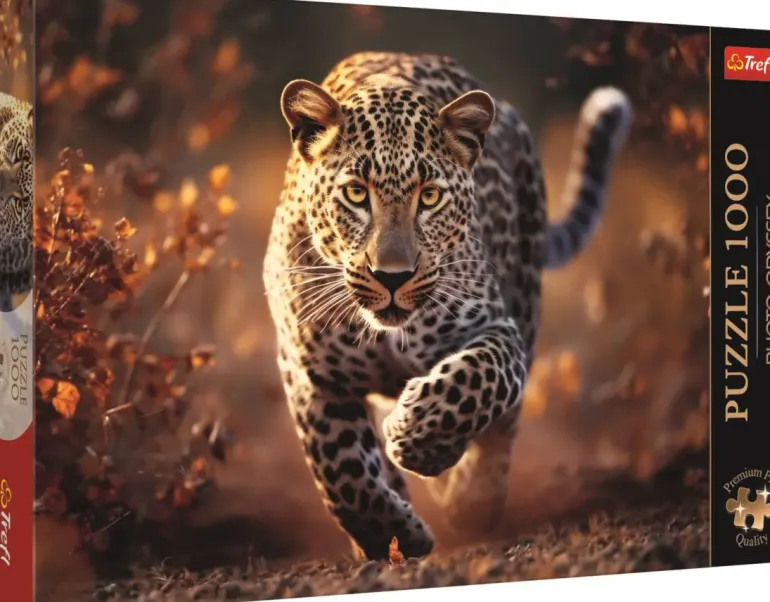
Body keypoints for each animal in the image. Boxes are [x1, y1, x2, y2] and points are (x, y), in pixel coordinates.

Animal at [263, 52, 632, 561]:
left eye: (430, 196)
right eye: (356, 193)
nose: (392, 276)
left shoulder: (497, 328)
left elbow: (476, 380)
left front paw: (418, 438)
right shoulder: (309, 371)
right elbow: (342, 470)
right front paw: (391, 536)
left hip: (526, 298)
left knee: (503, 427)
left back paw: (472, 498)